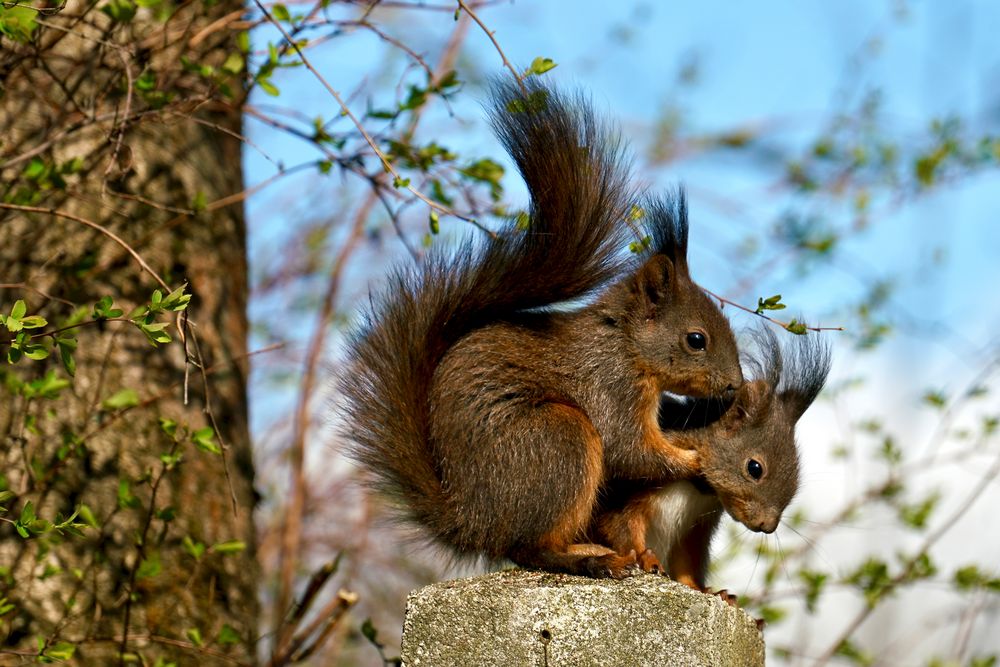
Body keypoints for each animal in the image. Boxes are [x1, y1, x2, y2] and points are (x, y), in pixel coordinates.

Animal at [344, 77, 744, 580]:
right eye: (696, 340)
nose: (734, 386)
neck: (625, 342)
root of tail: (473, 521)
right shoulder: (611, 384)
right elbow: (629, 448)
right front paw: (694, 460)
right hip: (559, 440)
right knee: (531, 548)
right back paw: (590, 557)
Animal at [588, 328, 832, 588]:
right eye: (755, 468)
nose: (767, 526)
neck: (699, 489)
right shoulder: (628, 491)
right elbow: (621, 528)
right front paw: (646, 558)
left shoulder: (695, 526)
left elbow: (687, 562)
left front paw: (707, 591)